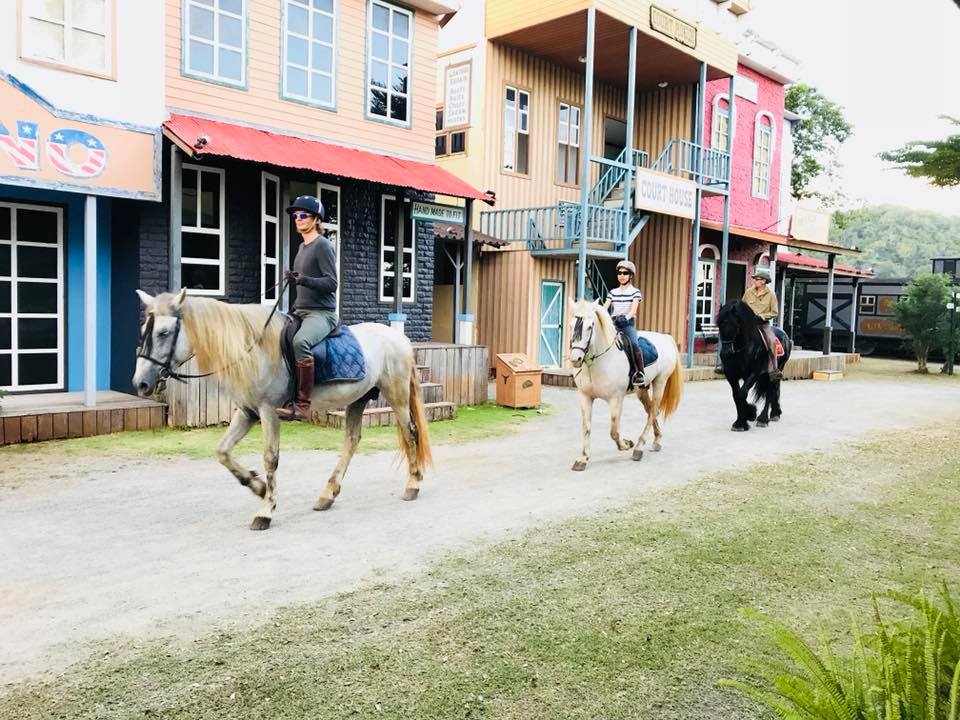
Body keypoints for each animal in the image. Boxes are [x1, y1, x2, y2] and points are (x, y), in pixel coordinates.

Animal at [132, 288, 432, 530]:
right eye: (144, 330)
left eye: (163, 333)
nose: (141, 383)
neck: (251, 350)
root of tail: (398, 338)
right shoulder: (247, 413)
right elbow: (222, 452)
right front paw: (257, 486)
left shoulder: (267, 412)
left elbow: (270, 459)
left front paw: (265, 510)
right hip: (358, 399)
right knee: (352, 440)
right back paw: (328, 493)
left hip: (397, 396)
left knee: (410, 433)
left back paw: (413, 485)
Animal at [566, 299, 684, 471]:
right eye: (570, 325)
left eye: (590, 326)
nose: (576, 359)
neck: (600, 361)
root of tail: (665, 337)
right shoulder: (585, 396)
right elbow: (586, 427)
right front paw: (583, 459)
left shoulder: (616, 398)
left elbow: (614, 431)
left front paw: (626, 444)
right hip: (642, 389)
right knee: (650, 410)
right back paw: (657, 440)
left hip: (660, 383)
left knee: (653, 411)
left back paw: (639, 448)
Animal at [716, 299, 793, 432]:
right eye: (719, 325)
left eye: (735, 326)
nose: (726, 352)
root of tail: (785, 335)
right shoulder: (731, 375)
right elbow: (736, 396)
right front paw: (744, 419)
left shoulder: (754, 373)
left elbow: (742, 393)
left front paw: (746, 417)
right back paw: (775, 413)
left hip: (775, 370)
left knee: (770, 391)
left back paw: (764, 418)